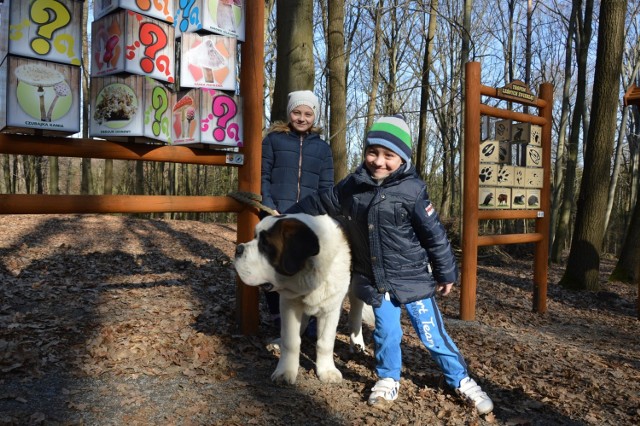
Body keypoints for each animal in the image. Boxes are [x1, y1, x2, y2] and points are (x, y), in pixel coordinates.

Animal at [235, 215, 368, 384]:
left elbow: (325, 342)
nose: (238, 249)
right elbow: (291, 340)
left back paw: (357, 343)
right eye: (255, 237)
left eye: (265, 244)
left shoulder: (330, 309)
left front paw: (327, 370)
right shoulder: (289, 303)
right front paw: (286, 370)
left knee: (356, 313)